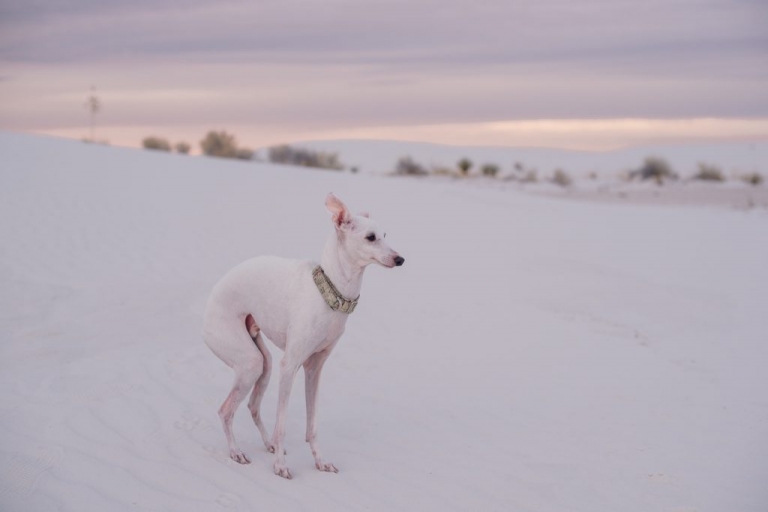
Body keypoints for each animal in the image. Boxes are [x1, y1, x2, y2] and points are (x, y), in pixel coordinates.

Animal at [204, 194, 408, 478]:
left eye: (385, 235)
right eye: (370, 237)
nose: (400, 259)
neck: (330, 292)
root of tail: (208, 302)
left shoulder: (314, 368)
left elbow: (312, 427)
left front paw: (320, 462)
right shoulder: (290, 366)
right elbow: (282, 425)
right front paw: (280, 466)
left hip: (263, 363)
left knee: (252, 406)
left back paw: (267, 444)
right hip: (249, 363)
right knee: (225, 410)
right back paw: (236, 452)